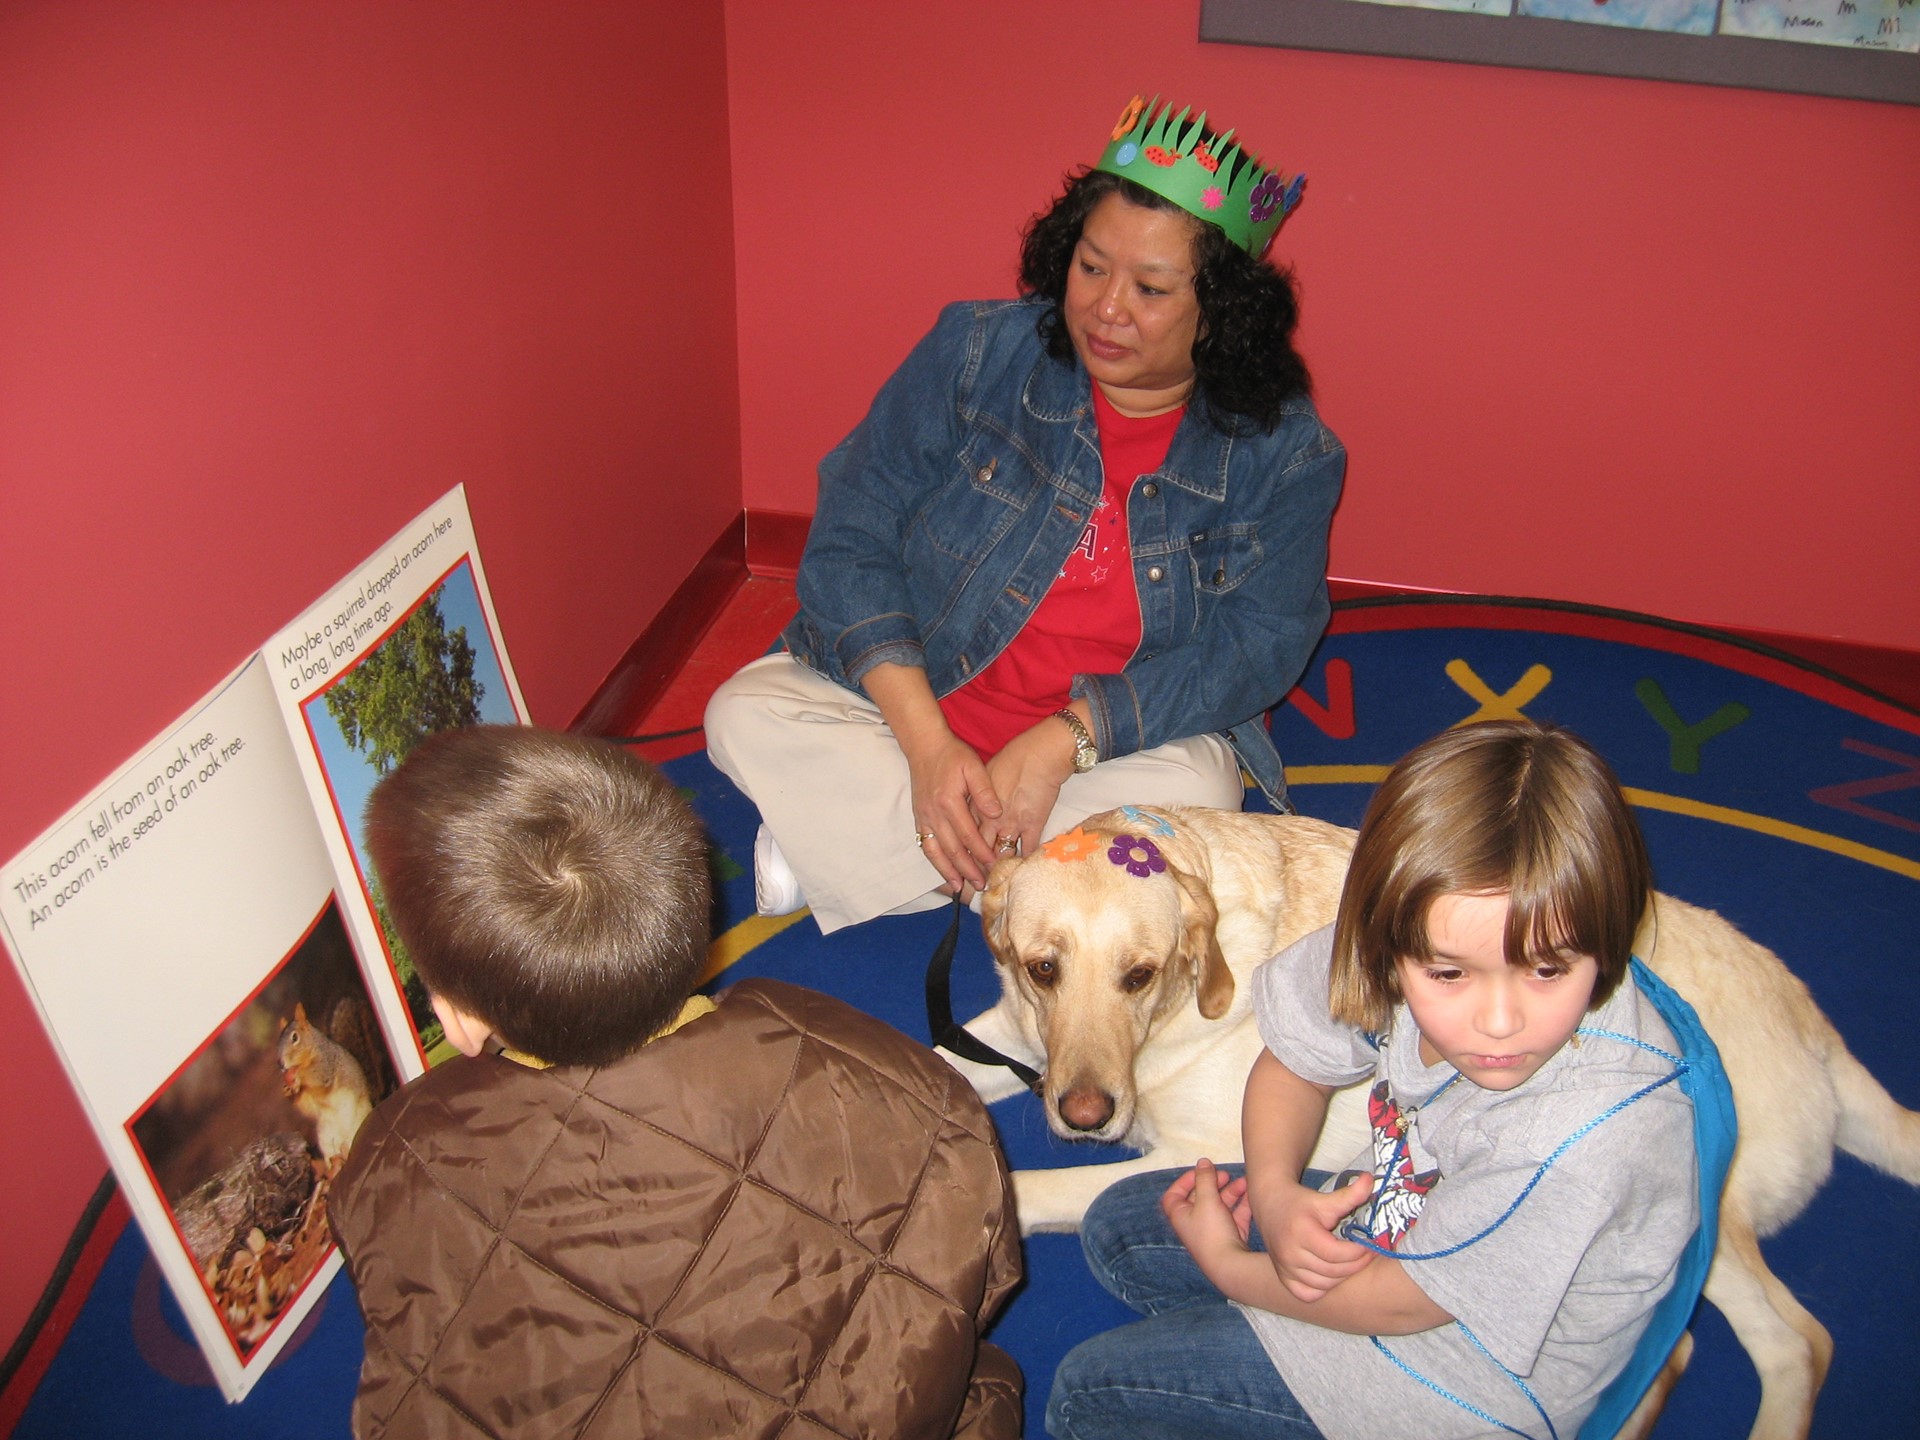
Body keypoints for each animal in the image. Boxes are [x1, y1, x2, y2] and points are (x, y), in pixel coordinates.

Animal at [278, 1006, 374, 1175]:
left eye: (295, 1037)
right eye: (278, 1041)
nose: (281, 1065)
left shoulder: (326, 1064)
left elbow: (318, 1076)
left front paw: (297, 1075)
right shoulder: (309, 1098)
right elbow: (307, 1105)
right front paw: (287, 1090)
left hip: (357, 1124)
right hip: (326, 1137)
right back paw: (333, 1170)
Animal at [944, 802, 1920, 1440]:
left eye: (1139, 975)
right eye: (1040, 968)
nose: (1084, 1111)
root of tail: (1811, 1020)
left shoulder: (1193, 1149)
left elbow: (1041, 1189)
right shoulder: (1010, 1033)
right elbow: (946, 1063)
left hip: (1701, 1219)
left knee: (1795, 1344)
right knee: (1670, 1354)